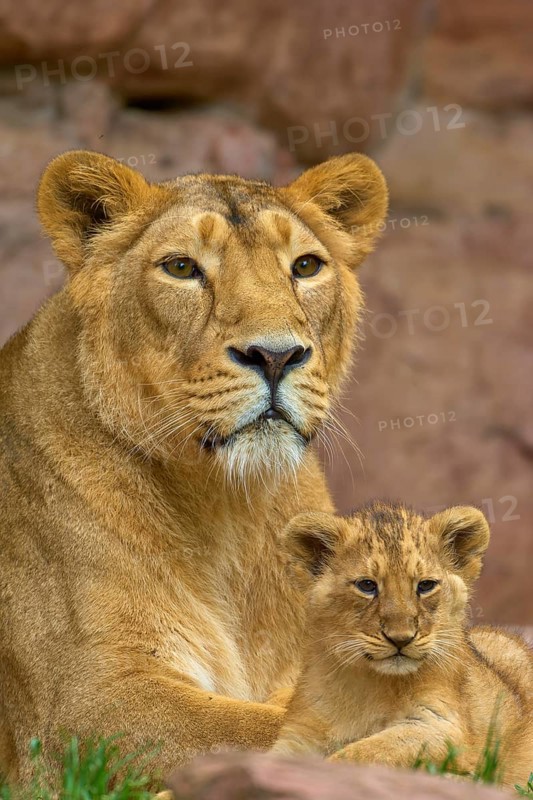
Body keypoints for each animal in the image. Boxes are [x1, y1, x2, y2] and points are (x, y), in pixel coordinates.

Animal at [0, 150, 388, 783]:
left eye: (306, 266)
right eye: (181, 267)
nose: (276, 355)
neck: (230, 509)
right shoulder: (80, 709)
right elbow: (267, 730)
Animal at [271, 501, 533, 788]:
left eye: (426, 585)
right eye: (367, 585)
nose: (401, 638)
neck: (370, 685)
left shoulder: (440, 726)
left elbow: (364, 752)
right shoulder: (300, 733)